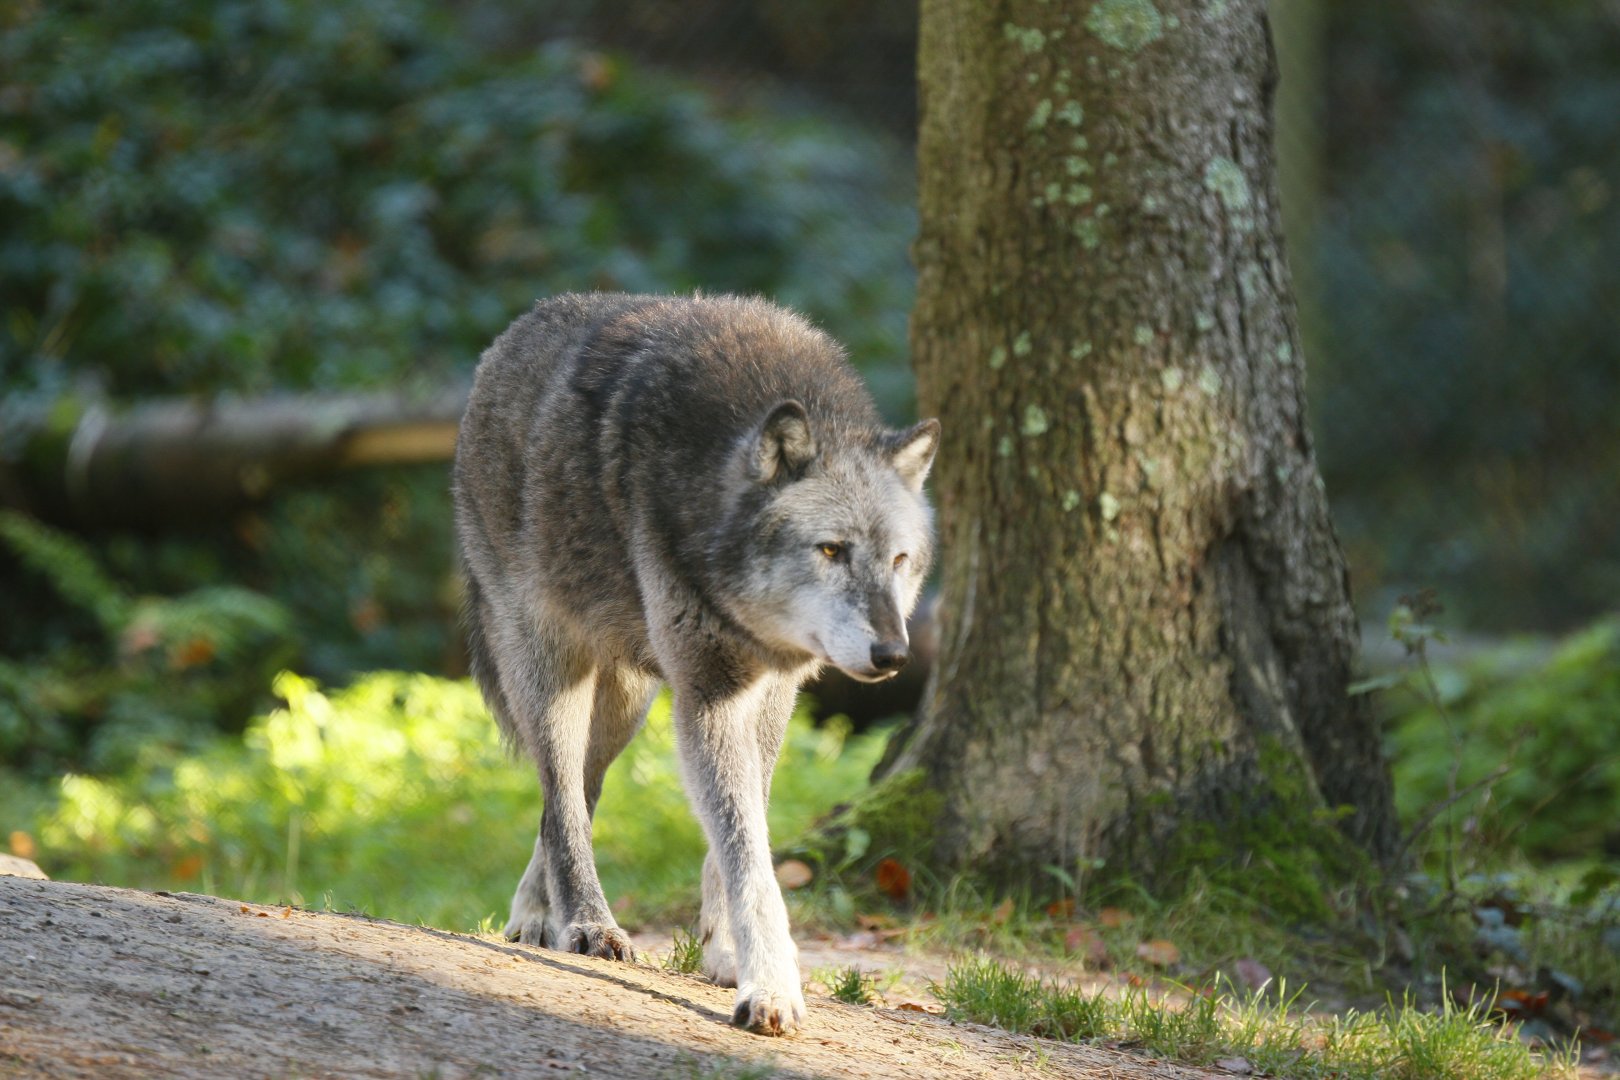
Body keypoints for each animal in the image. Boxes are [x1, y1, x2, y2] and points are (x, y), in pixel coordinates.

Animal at [452, 293, 938, 1035]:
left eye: (899, 560)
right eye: (831, 551)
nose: (894, 656)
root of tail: (516, 329)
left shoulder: (770, 692)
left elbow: (744, 831)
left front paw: (727, 953)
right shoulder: (709, 695)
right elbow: (746, 851)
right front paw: (772, 989)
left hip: (623, 707)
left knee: (573, 796)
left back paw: (536, 915)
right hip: (553, 670)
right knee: (561, 798)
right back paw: (587, 924)